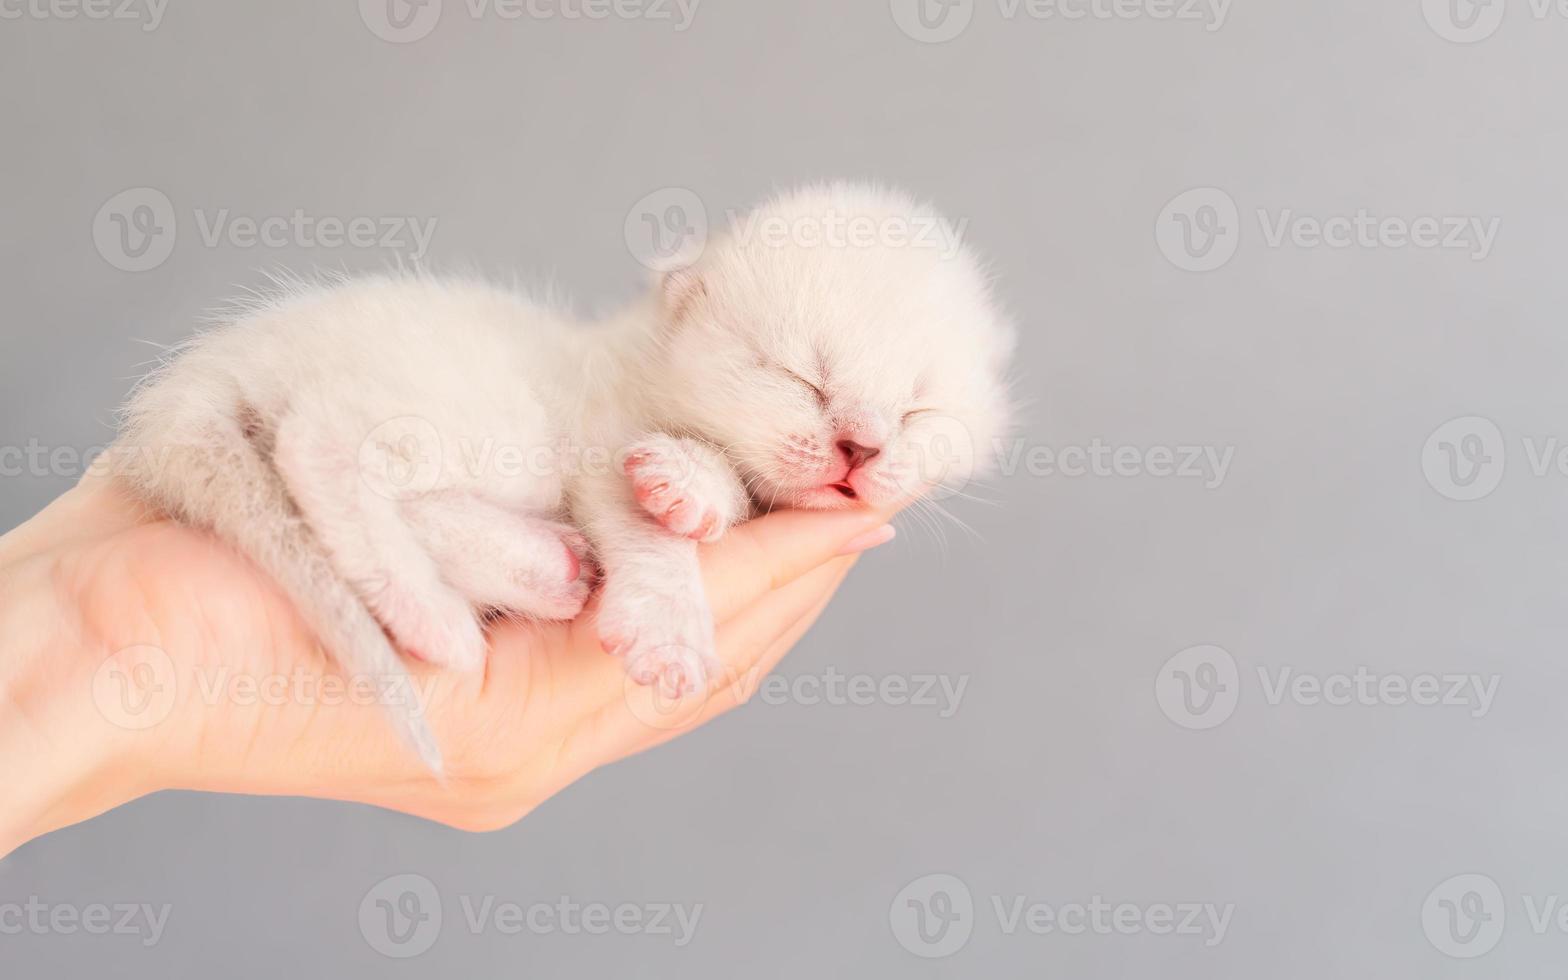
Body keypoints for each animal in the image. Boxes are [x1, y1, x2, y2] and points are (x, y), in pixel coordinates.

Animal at [113, 179, 1016, 768]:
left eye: (919, 412)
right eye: (802, 379)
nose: (862, 448)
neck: (644, 356)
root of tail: (200, 376)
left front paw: (693, 486)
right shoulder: (598, 433)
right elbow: (647, 532)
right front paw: (668, 620)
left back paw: (546, 570)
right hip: (479, 418)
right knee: (320, 442)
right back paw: (432, 614)